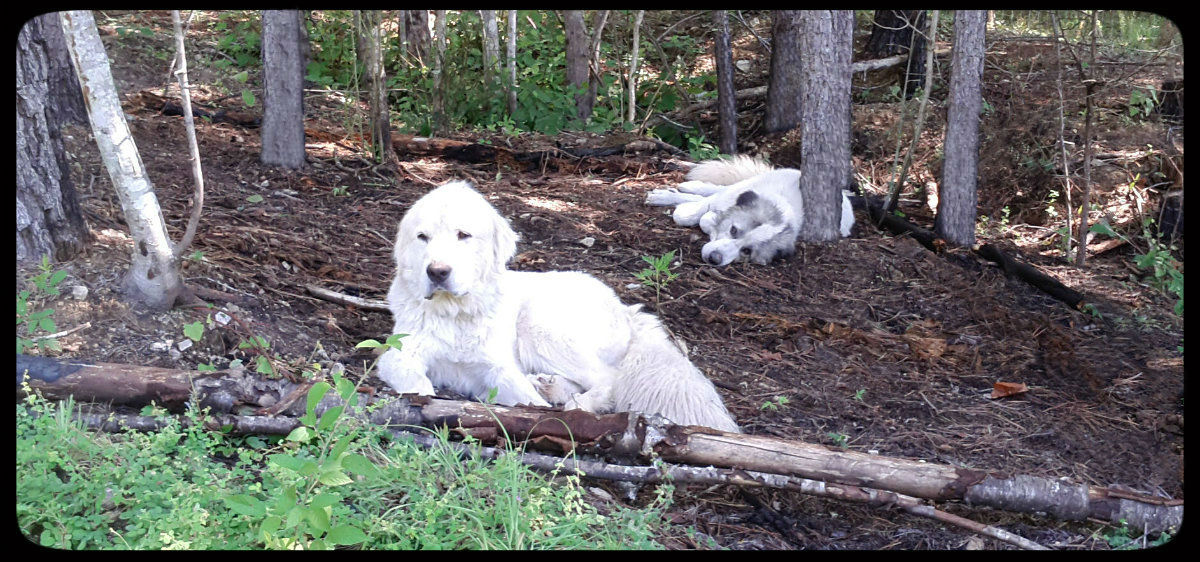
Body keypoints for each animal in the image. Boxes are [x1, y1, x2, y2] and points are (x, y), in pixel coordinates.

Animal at [374, 178, 739, 429]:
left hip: (540, 328)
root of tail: (627, 311)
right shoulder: (399, 356)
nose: (437, 272)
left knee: (609, 381)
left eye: (463, 235)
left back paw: (575, 405)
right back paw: (552, 387)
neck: (456, 312)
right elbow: (418, 385)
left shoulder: (498, 367)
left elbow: (524, 398)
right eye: (422, 237)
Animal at [648, 156, 854, 265]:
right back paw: (685, 188)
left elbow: (705, 218)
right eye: (733, 230)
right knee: (713, 191)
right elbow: (689, 214)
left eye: (746, 251)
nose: (715, 259)